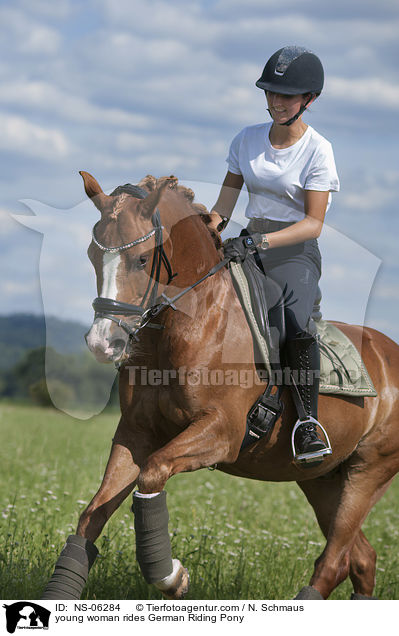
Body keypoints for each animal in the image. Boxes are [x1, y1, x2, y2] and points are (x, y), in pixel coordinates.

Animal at [42, 173, 399, 600]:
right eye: (93, 255)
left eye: (143, 259)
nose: (103, 343)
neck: (193, 322)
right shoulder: (136, 432)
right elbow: (91, 516)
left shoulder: (221, 432)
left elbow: (153, 472)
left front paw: (171, 575)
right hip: (322, 479)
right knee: (360, 558)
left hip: (368, 472)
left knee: (333, 561)